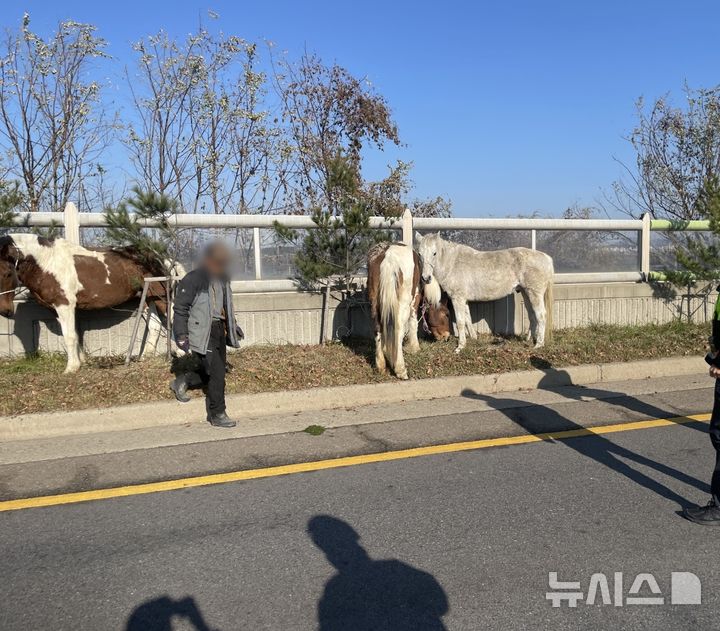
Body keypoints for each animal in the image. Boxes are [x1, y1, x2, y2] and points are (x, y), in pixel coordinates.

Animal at [0, 233, 180, 370]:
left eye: (6, 273)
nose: (5, 311)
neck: (48, 262)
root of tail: (162, 257)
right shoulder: (58, 309)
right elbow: (75, 334)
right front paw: (81, 361)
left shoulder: (64, 305)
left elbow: (69, 335)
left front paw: (71, 368)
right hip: (147, 298)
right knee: (155, 326)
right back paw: (145, 357)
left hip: (162, 296)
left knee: (172, 318)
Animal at [414, 233, 556, 354]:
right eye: (420, 254)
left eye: (434, 253)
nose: (426, 278)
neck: (453, 264)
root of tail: (546, 258)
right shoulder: (463, 300)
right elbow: (468, 319)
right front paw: (473, 338)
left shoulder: (457, 298)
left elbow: (460, 322)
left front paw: (460, 347)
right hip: (526, 293)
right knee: (532, 315)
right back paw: (529, 339)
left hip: (535, 294)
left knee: (541, 316)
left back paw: (539, 344)